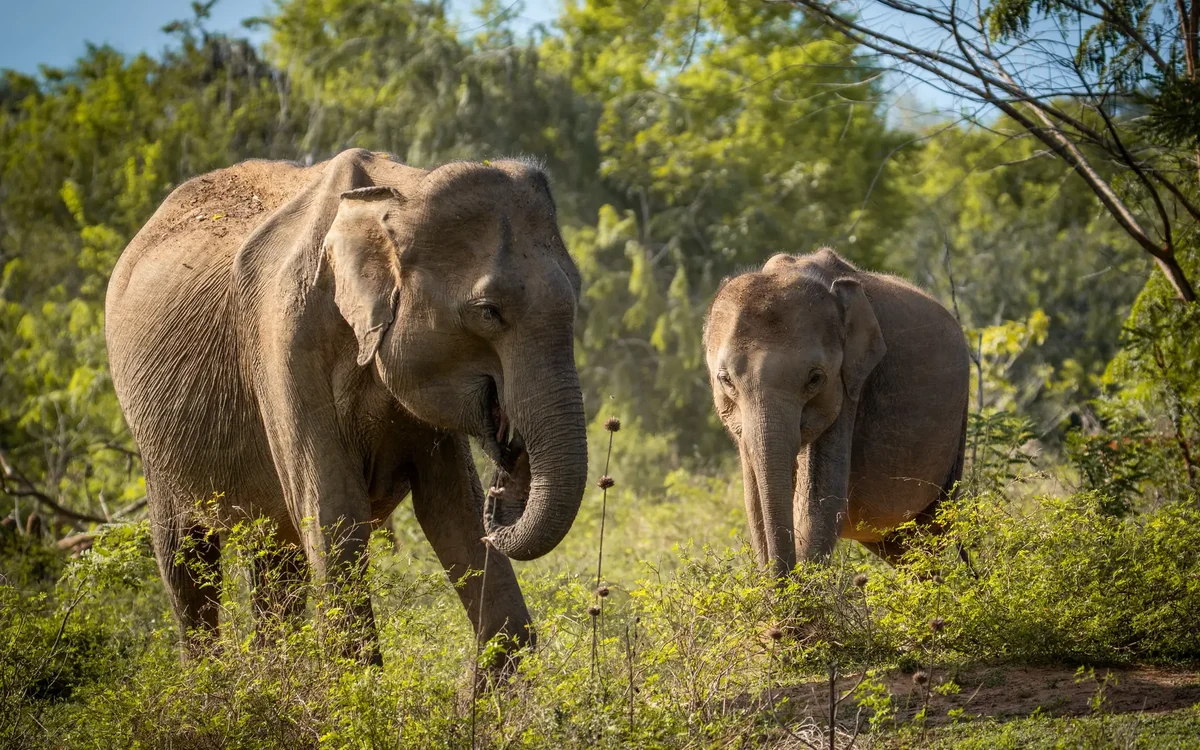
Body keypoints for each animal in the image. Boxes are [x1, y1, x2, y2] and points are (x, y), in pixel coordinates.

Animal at [105, 148, 588, 665]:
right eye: (487, 312)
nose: (505, 464)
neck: (398, 194)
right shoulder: (285, 343)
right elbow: (334, 512)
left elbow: (452, 508)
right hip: (154, 443)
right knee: (186, 556)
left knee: (276, 558)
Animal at [703, 248, 969, 578]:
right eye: (726, 380)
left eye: (815, 378)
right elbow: (755, 504)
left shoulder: (850, 385)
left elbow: (819, 503)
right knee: (901, 548)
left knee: (930, 534)